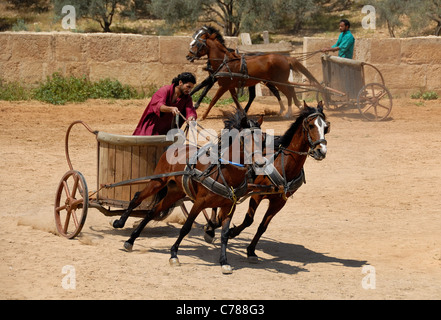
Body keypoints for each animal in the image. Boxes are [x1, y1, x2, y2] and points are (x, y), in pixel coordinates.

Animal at [112, 111, 262, 274]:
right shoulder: (199, 202)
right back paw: (119, 223)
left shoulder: (229, 207)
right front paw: (173, 255)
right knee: (137, 197)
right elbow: (186, 228)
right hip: (157, 181)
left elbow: (224, 235)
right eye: (244, 138)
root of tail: (175, 147)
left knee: (153, 211)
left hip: (175, 192)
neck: (224, 173)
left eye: (263, 139)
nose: (260, 163)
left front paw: (224, 262)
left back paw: (131, 240)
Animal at [186, 26, 320, 120]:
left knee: (288, 92)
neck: (225, 61)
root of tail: (285, 58)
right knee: (288, 90)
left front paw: (202, 115)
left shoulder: (222, 85)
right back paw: (291, 109)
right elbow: (235, 100)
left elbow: (213, 99)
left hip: (279, 81)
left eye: (197, 42)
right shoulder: (228, 85)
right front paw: (242, 114)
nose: (188, 56)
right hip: (275, 81)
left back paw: (288, 113)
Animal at [205, 102, 328, 262]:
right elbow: (249, 219)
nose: (321, 151)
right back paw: (211, 227)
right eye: (311, 125)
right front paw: (231, 232)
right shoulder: (257, 194)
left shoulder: (279, 201)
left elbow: (263, 226)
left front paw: (251, 250)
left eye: (326, 127)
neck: (283, 164)